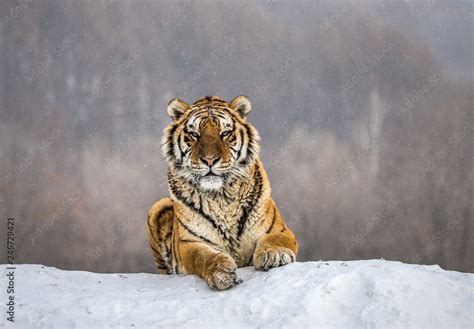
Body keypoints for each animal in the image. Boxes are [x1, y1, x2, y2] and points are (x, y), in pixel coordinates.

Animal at [146, 95, 298, 290]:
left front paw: (275, 255)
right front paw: (221, 272)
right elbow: (203, 256)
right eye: (194, 134)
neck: (221, 197)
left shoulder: (281, 230)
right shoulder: (188, 243)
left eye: (225, 133)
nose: (210, 160)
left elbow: (273, 239)